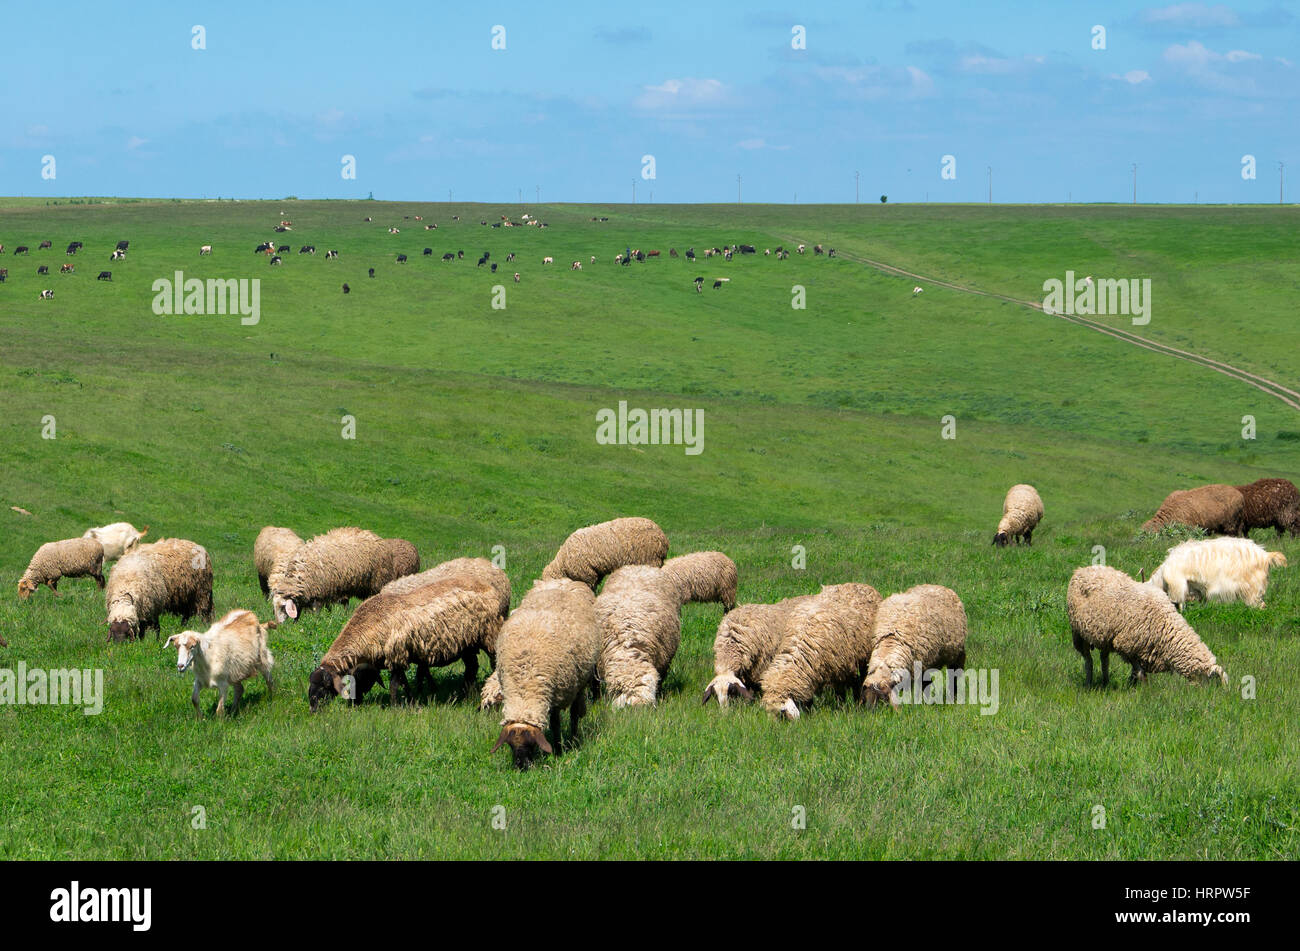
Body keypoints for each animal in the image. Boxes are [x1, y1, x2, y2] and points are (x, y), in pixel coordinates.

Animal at [491, 576, 598, 769]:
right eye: (510, 745)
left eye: (531, 744)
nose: (521, 766)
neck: (525, 681)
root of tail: (562, 581)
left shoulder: (556, 695)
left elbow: (556, 724)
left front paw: (558, 749)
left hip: (579, 682)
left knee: (574, 714)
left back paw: (574, 738)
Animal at [863, 582, 967, 711]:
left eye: (884, 701)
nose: (872, 713)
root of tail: (936, 585)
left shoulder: (921, 665)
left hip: (957, 652)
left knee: (955, 674)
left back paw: (954, 696)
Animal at [1066, 569, 1227, 685]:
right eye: (1214, 683)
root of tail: (1082, 570)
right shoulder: (1128, 645)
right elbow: (1140, 673)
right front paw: (1143, 691)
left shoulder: (1142, 649)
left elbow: (1136, 672)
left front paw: (1132, 685)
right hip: (1078, 632)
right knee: (1088, 660)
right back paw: (1089, 683)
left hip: (1104, 635)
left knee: (1104, 659)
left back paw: (1105, 683)